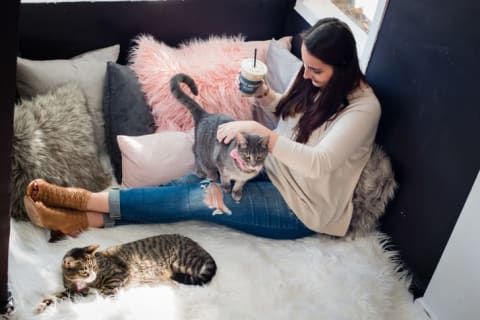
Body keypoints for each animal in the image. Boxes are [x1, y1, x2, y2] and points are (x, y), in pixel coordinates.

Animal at [36, 234, 217, 314]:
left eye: (94, 266)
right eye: (84, 271)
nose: (93, 275)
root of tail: (194, 243)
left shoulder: (119, 274)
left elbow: (108, 293)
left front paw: (112, 305)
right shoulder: (74, 291)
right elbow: (55, 296)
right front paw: (41, 306)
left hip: (182, 262)